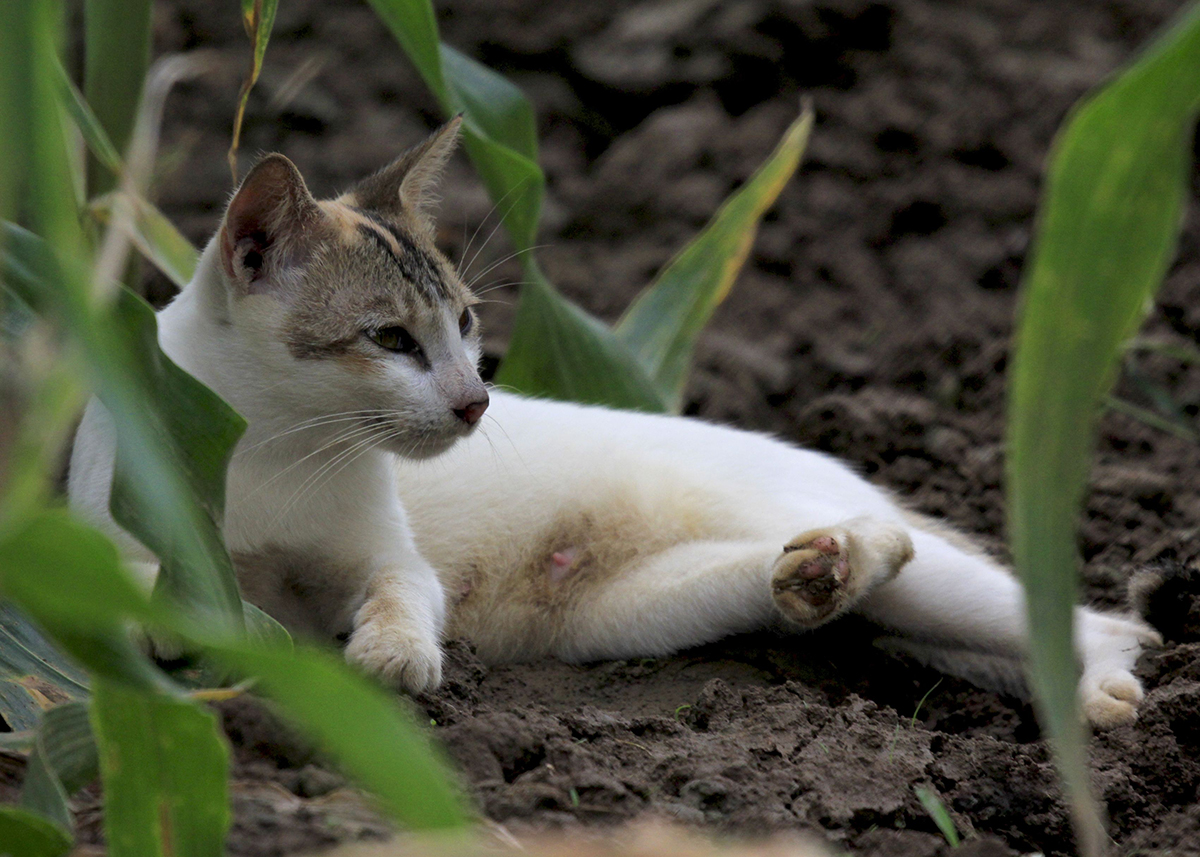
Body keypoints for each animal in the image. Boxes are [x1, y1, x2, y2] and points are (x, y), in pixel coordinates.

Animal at [70, 117, 1156, 724]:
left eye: (467, 324)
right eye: (389, 337)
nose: (475, 398)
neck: (274, 449)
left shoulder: (394, 560)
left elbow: (398, 597)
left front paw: (392, 658)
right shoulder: (118, 541)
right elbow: (166, 594)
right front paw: (222, 633)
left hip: (917, 581)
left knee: (1102, 618)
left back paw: (1098, 692)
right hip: (644, 608)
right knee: (837, 570)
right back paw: (823, 572)